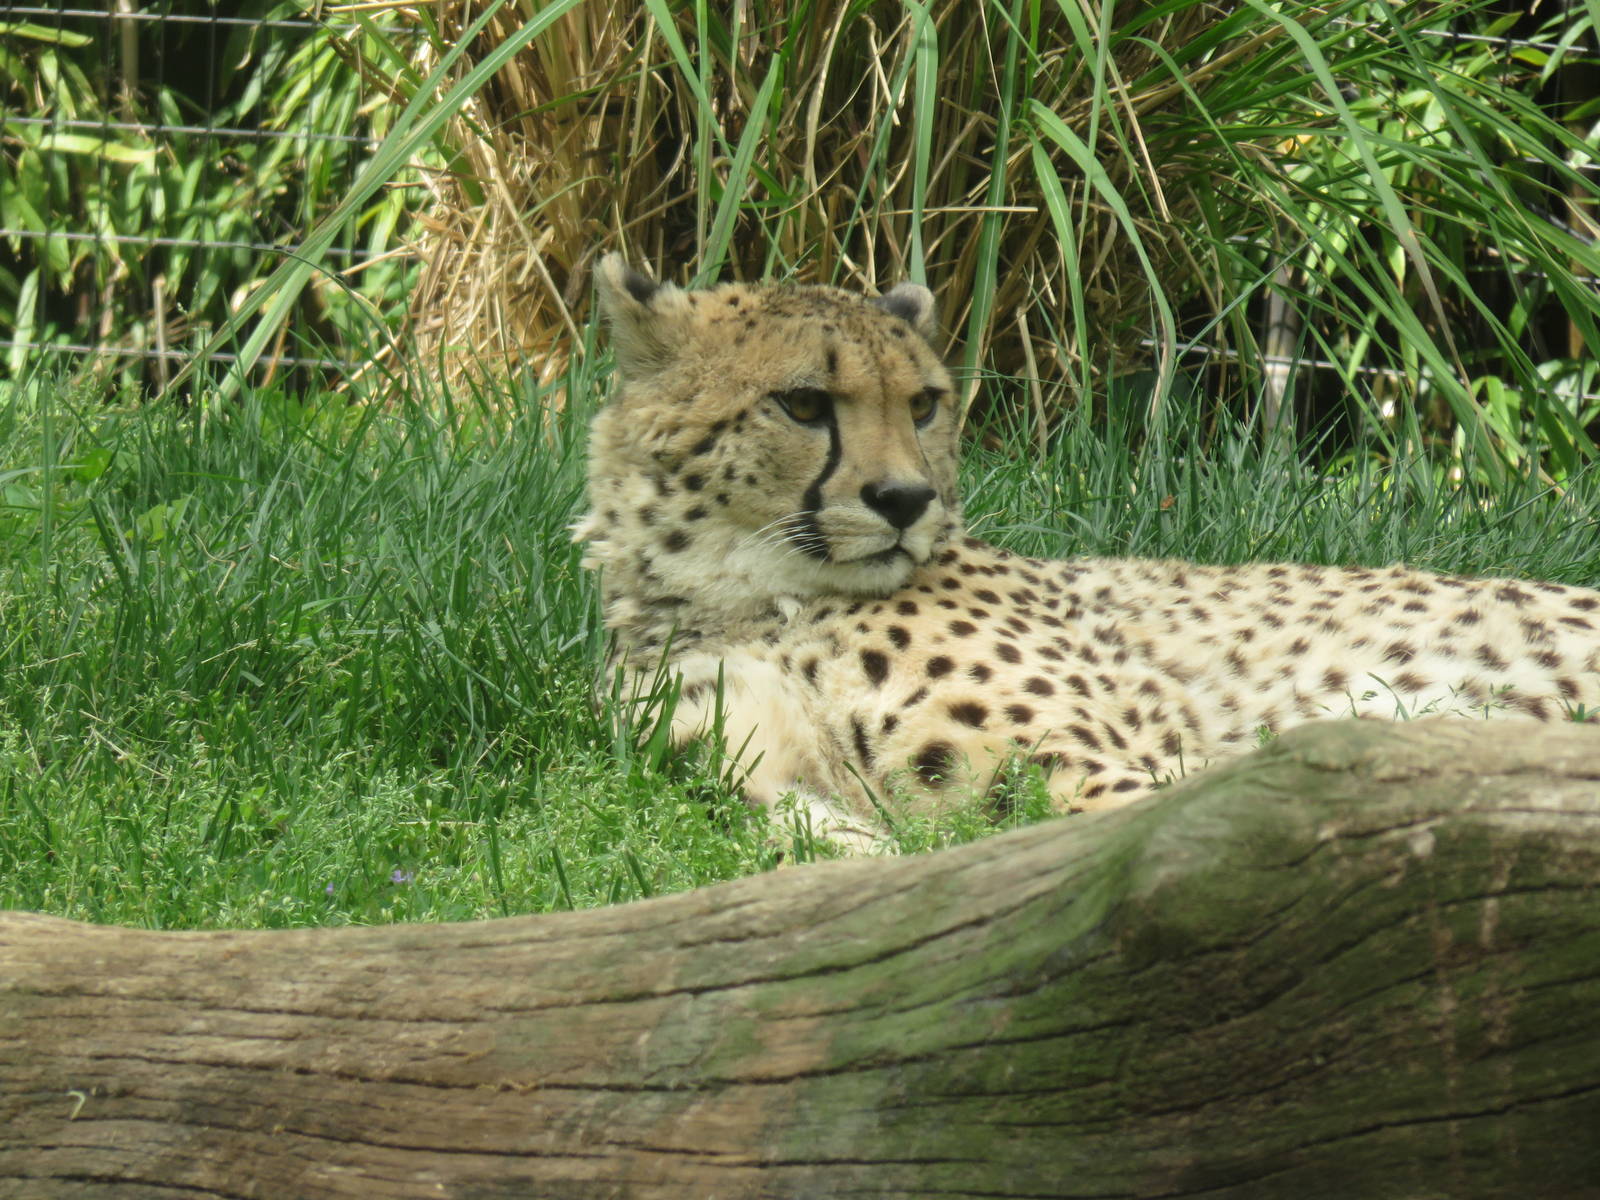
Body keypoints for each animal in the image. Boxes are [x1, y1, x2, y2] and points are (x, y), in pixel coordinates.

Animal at [575, 252, 1600, 853]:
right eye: (801, 403)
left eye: (923, 404)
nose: (906, 500)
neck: (751, 594)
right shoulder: (729, 773)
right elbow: (800, 841)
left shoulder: (1118, 778)